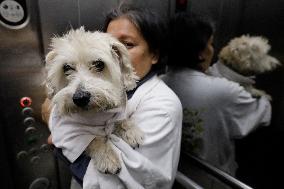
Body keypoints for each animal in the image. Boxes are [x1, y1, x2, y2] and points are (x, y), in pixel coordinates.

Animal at [45, 28, 143, 176]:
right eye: (66, 67)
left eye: (99, 64)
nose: (80, 98)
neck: (98, 113)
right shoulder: (67, 135)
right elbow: (93, 140)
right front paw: (108, 157)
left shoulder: (119, 112)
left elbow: (123, 119)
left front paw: (131, 131)